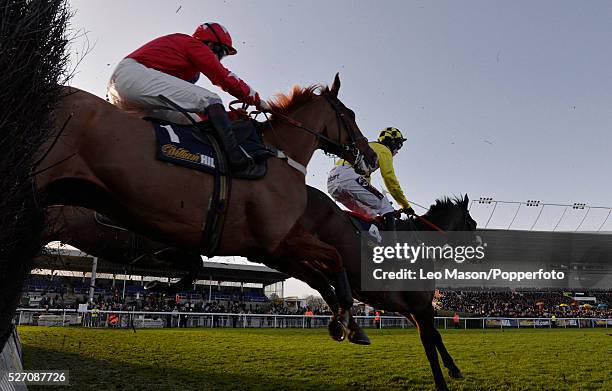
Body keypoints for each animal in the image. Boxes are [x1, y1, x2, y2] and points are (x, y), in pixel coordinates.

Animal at [34, 74, 378, 340]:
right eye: (350, 114)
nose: (371, 157)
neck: (276, 157)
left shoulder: (269, 247)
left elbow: (319, 276)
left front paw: (348, 324)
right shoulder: (276, 241)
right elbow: (333, 258)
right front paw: (346, 317)